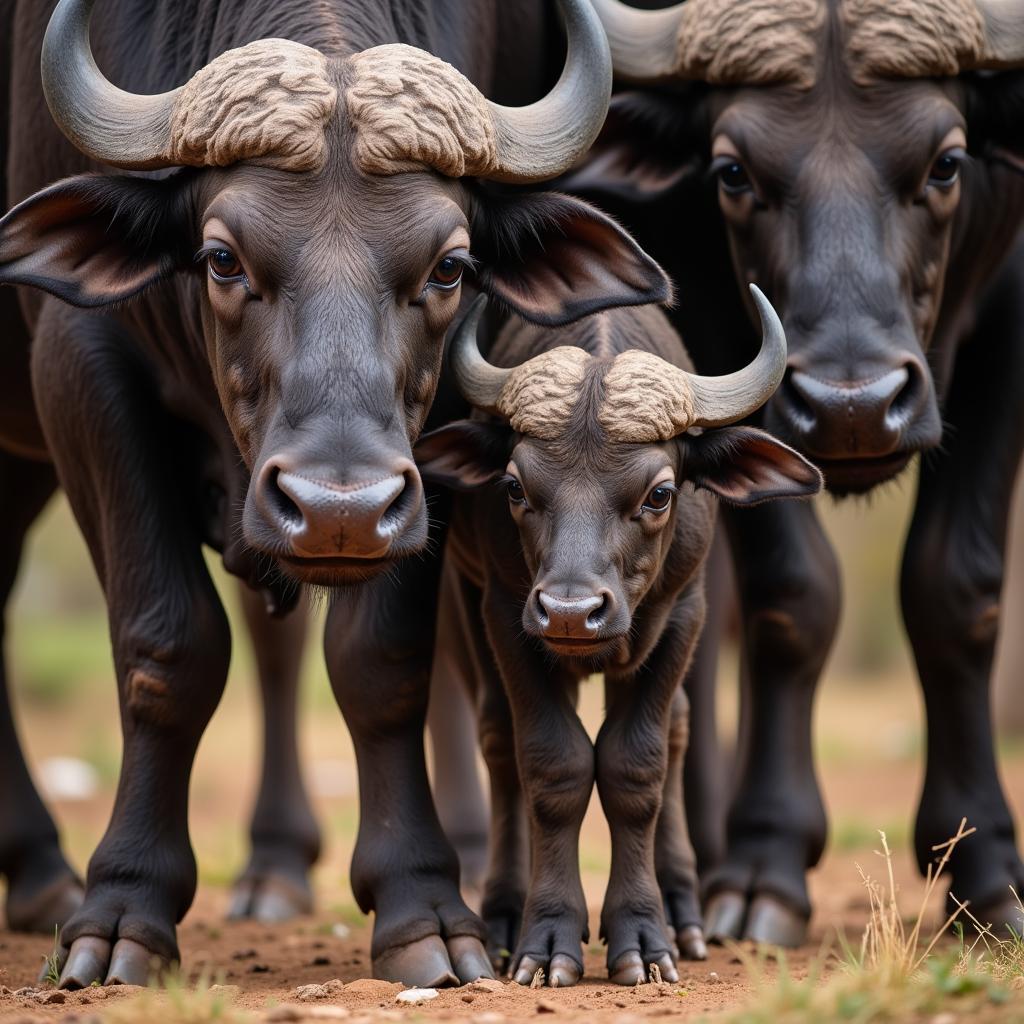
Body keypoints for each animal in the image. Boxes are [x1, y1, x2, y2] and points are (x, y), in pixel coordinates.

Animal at [0, 0, 671, 987]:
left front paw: (422, 905)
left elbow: (383, 660)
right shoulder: (74, 365)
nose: (339, 513)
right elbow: (167, 645)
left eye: (450, 267)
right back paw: (49, 873)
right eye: (220, 258)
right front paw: (123, 912)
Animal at [415, 288, 823, 983]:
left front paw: (645, 934)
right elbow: (553, 765)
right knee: (499, 740)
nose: (571, 612)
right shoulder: (503, 610)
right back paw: (505, 911)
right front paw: (548, 933)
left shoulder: (684, 612)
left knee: (679, 728)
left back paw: (683, 908)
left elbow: (637, 766)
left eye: (659, 494)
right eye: (514, 486)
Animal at [565, 0, 1024, 942]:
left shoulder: (1010, 298)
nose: (852, 406)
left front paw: (986, 870)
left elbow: (958, 587)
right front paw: (763, 865)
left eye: (948, 161)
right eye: (733, 172)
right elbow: (790, 593)